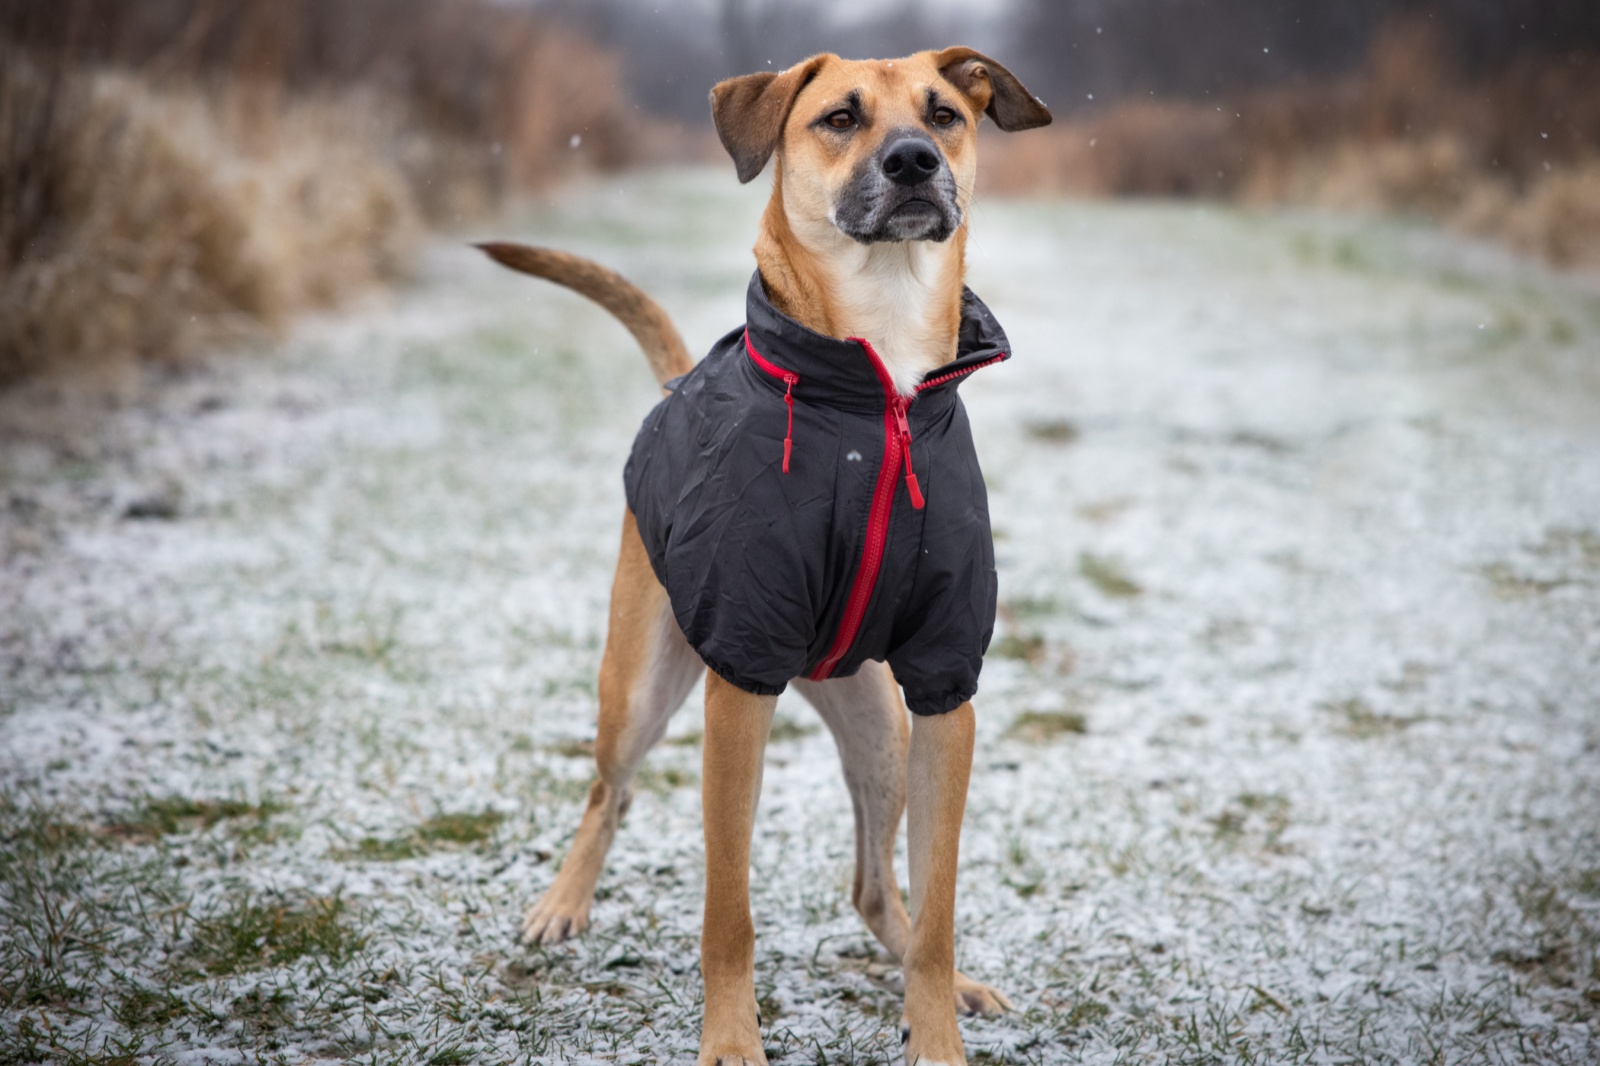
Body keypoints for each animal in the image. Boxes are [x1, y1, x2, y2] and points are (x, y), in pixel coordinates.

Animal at [473, 47, 1049, 1062]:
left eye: (943, 113)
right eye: (840, 118)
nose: (912, 161)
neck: (880, 391)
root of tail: (674, 386)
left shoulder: (945, 692)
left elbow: (937, 907)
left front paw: (937, 1028)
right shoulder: (738, 681)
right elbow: (727, 910)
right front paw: (733, 1040)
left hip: (881, 730)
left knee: (874, 888)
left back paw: (932, 978)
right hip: (641, 682)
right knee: (608, 791)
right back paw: (561, 904)